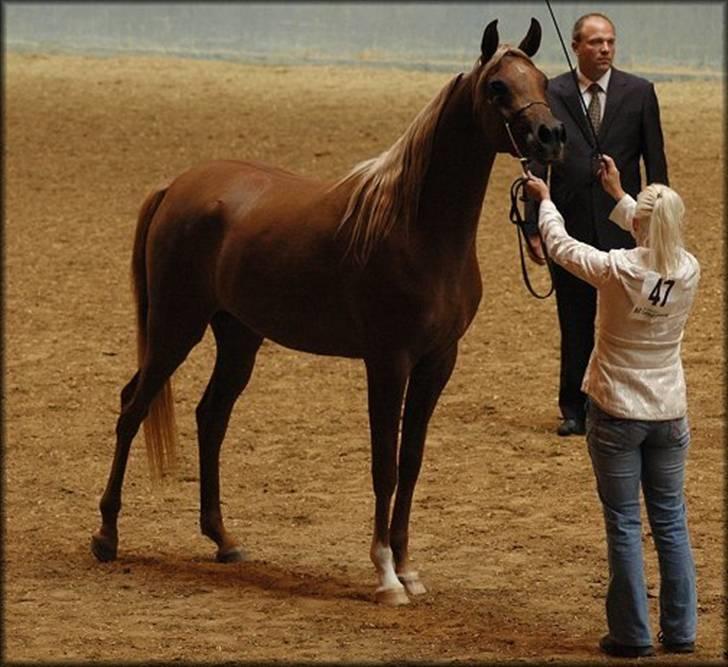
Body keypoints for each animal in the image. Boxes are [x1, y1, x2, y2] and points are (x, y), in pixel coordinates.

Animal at [91, 19, 564, 604]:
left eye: (541, 79)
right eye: (498, 86)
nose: (551, 135)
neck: (414, 229)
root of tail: (176, 185)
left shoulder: (438, 361)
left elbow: (411, 463)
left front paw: (409, 568)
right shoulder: (388, 362)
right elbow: (385, 465)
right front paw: (385, 576)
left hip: (238, 337)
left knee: (210, 417)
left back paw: (224, 540)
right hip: (175, 328)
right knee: (132, 407)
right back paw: (106, 535)